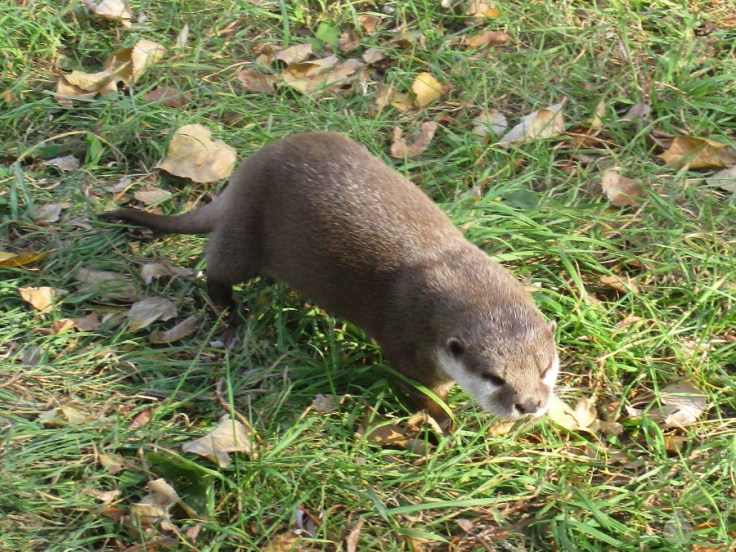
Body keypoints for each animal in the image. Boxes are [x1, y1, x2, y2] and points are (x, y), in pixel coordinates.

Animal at [103, 132, 558, 424]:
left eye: (544, 368)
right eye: (494, 378)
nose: (530, 404)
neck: (457, 274)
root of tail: (243, 174)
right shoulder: (407, 346)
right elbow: (425, 395)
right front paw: (443, 425)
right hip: (246, 234)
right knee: (216, 270)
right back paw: (229, 318)